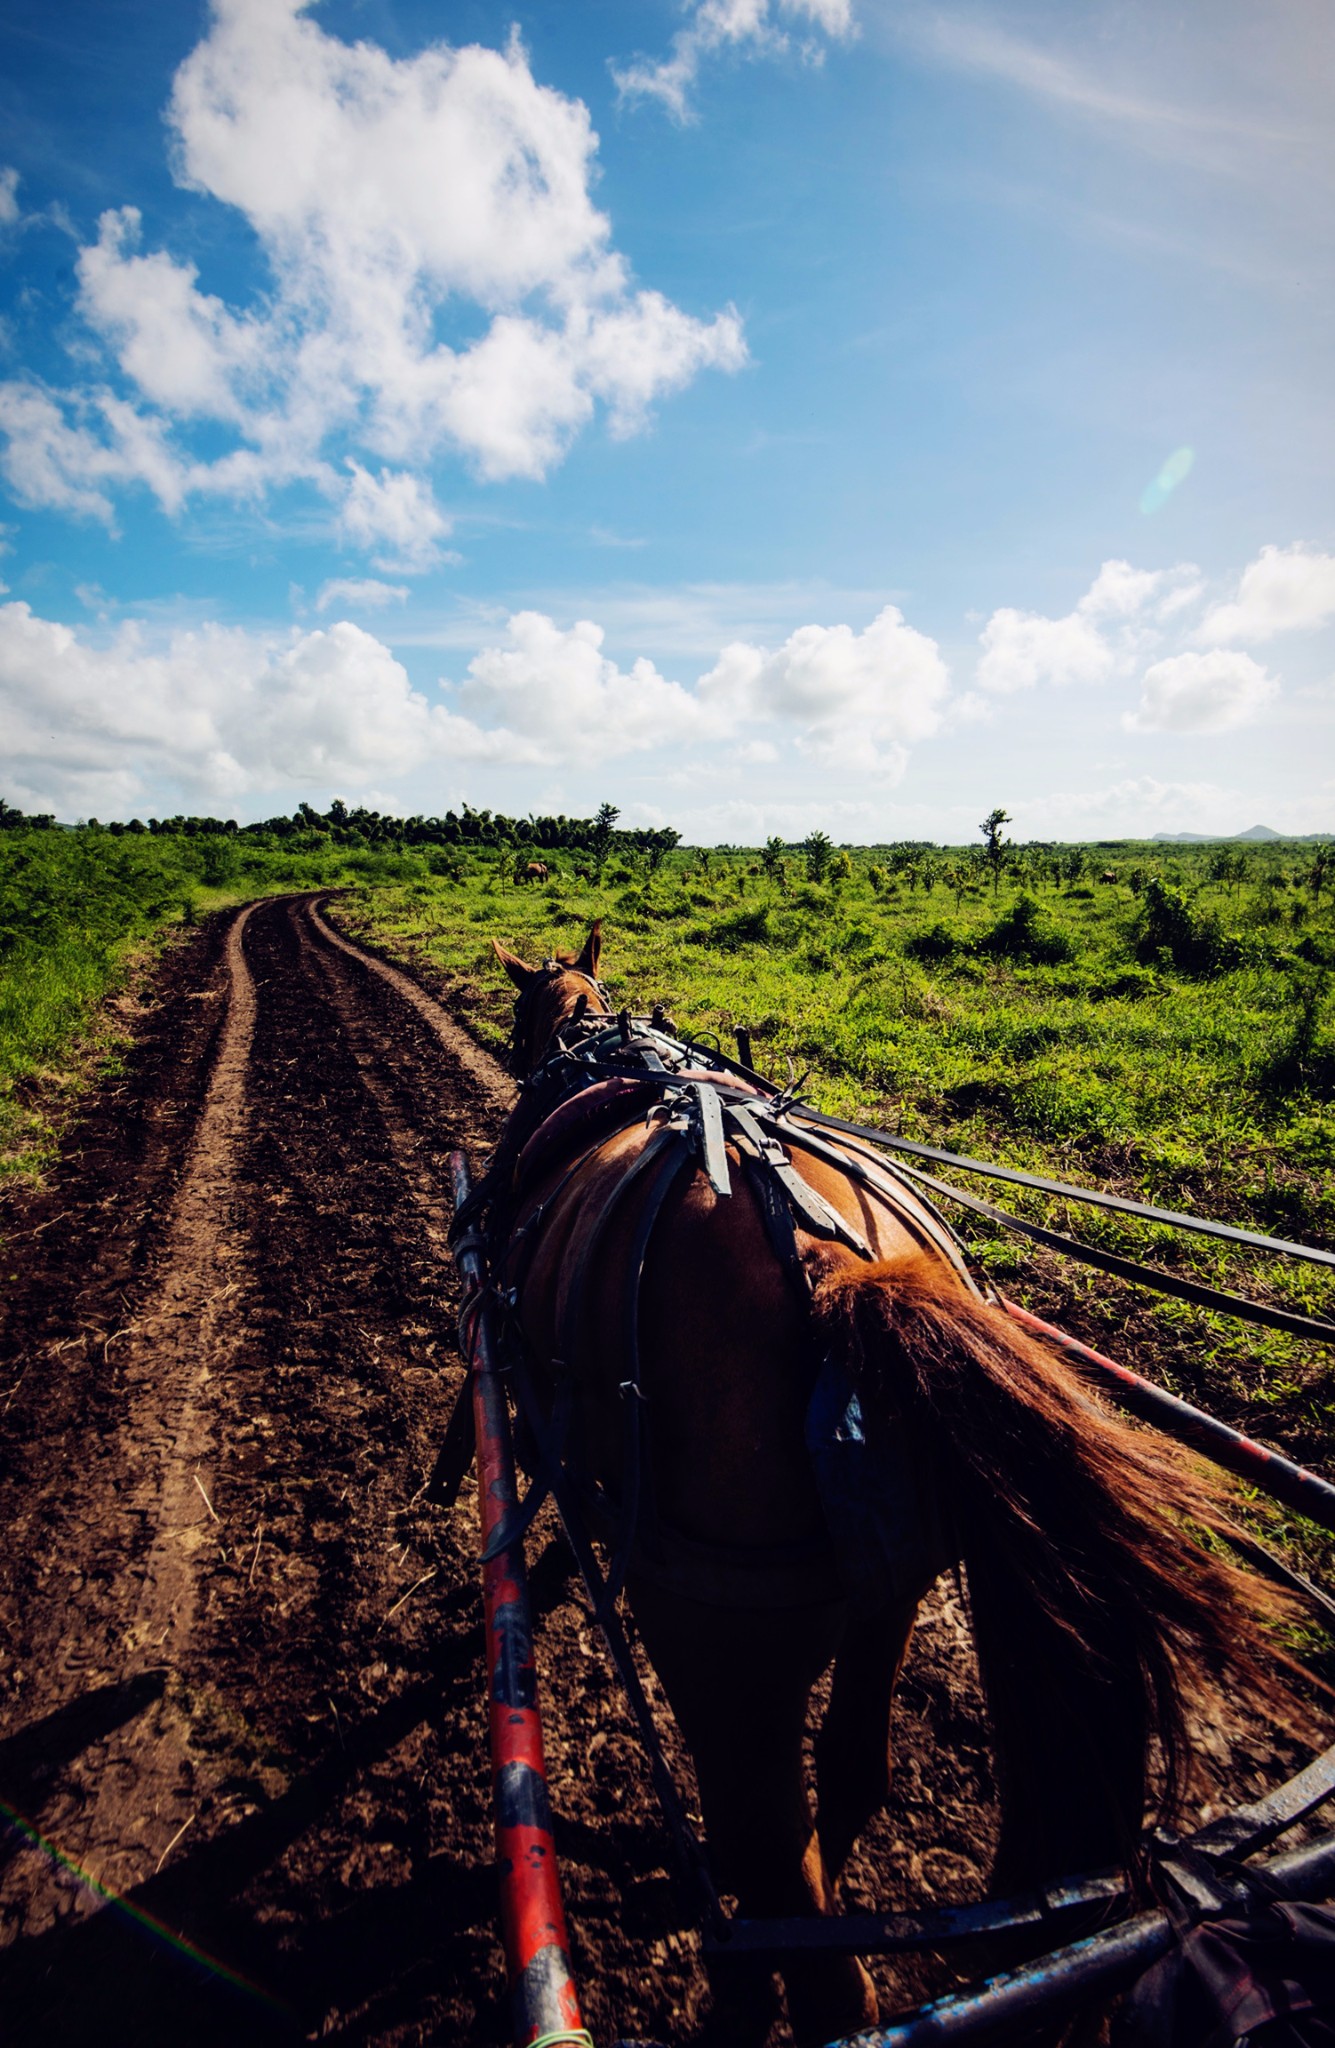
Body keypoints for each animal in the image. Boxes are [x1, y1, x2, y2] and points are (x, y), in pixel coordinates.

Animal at [485, 921, 1302, 2039]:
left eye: (515, 1014)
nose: (513, 1053)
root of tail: (837, 1268)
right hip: (889, 1586)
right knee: (849, 1780)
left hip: (718, 1642)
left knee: (784, 1886)